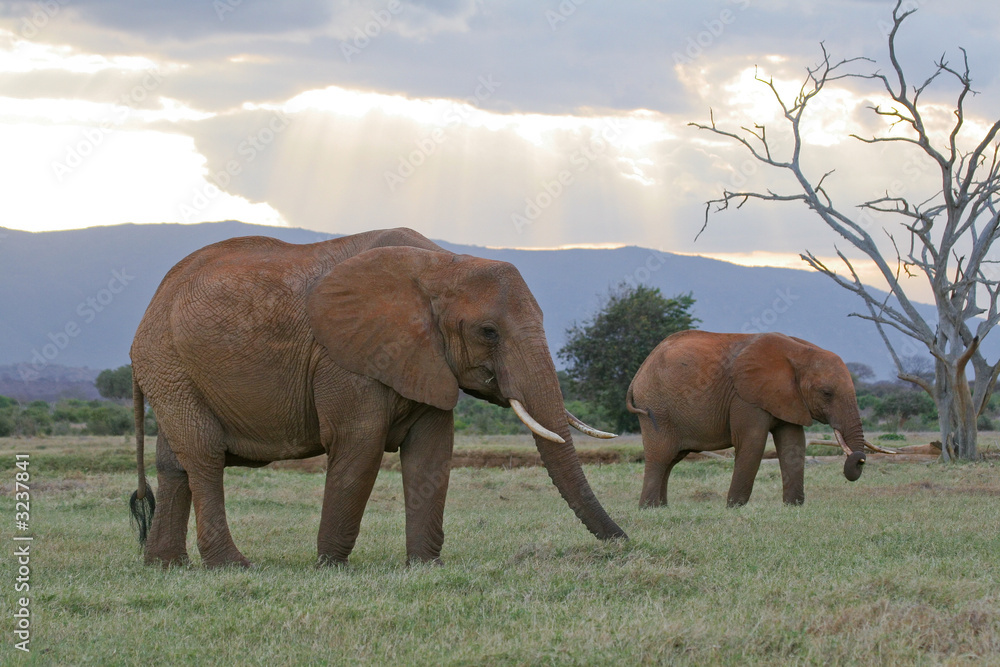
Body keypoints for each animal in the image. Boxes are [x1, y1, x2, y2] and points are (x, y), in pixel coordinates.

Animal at [128, 227, 626, 568]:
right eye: (489, 332)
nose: (624, 542)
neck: (441, 264)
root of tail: (152, 304)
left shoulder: (425, 358)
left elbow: (432, 453)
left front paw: (425, 567)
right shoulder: (347, 357)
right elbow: (360, 445)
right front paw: (330, 568)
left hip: (173, 370)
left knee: (174, 464)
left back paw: (165, 567)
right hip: (169, 362)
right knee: (204, 456)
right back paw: (234, 567)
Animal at [626, 330, 889, 508]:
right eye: (826, 393)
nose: (860, 460)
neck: (799, 352)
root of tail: (639, 372)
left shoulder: (788, 397)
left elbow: (793, 445)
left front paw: (793, 507)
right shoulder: (745, 397)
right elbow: (753, 443)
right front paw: (734, 508)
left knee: (672, 460)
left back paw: (661, 508)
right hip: (656, 407)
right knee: (661, 457)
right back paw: (649, 509)